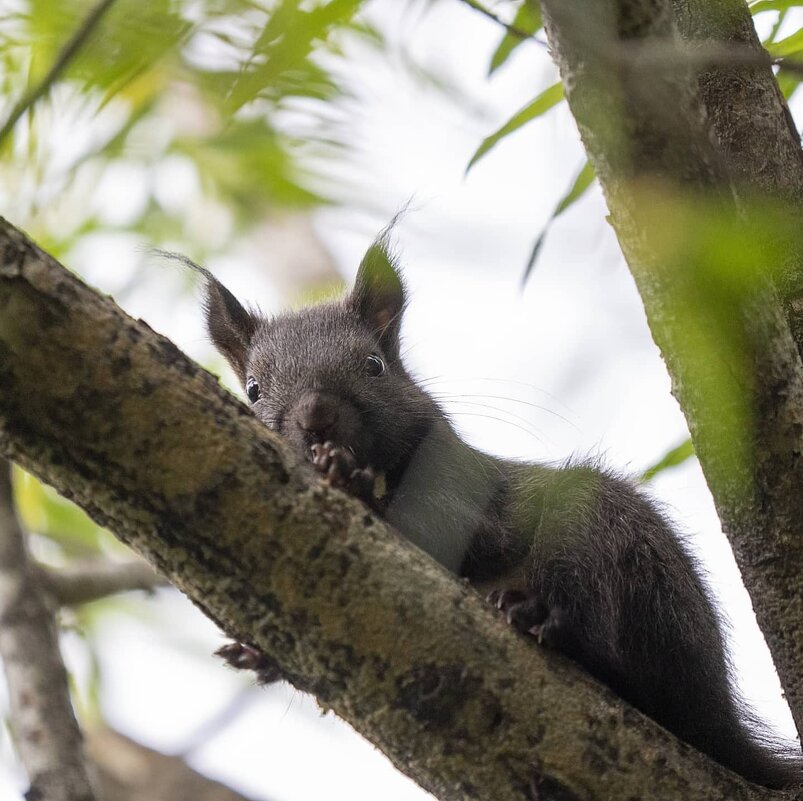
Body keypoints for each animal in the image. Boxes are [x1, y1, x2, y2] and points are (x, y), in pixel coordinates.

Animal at [184, 231, 803, 788]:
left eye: (374, 365)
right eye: (254, 389)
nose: (316, 418)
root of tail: (716, 708)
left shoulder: (469, 486)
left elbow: (462, 531)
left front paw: (354, 482)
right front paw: (258, 653)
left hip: (610, 547)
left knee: (622, 654)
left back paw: (542, 619)